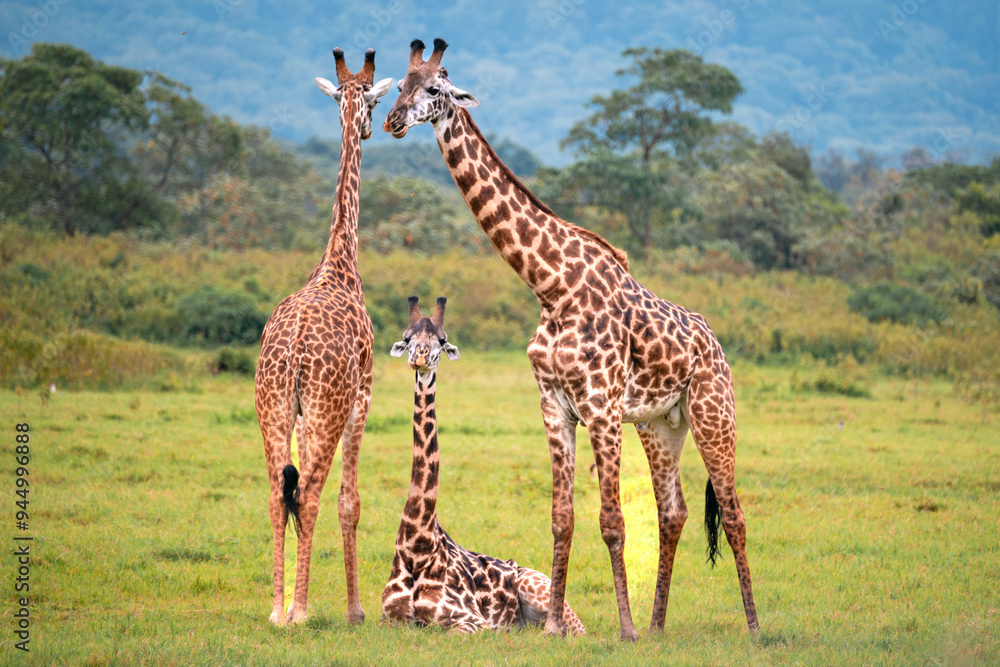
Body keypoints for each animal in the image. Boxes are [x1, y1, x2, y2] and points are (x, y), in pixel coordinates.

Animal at [380, 296, 586, 635]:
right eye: (407, 339)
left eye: (442, 340)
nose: (421, 357)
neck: (416, 547)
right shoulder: (388, 620)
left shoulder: (472, 622)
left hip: (541, 590)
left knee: (576, 630)